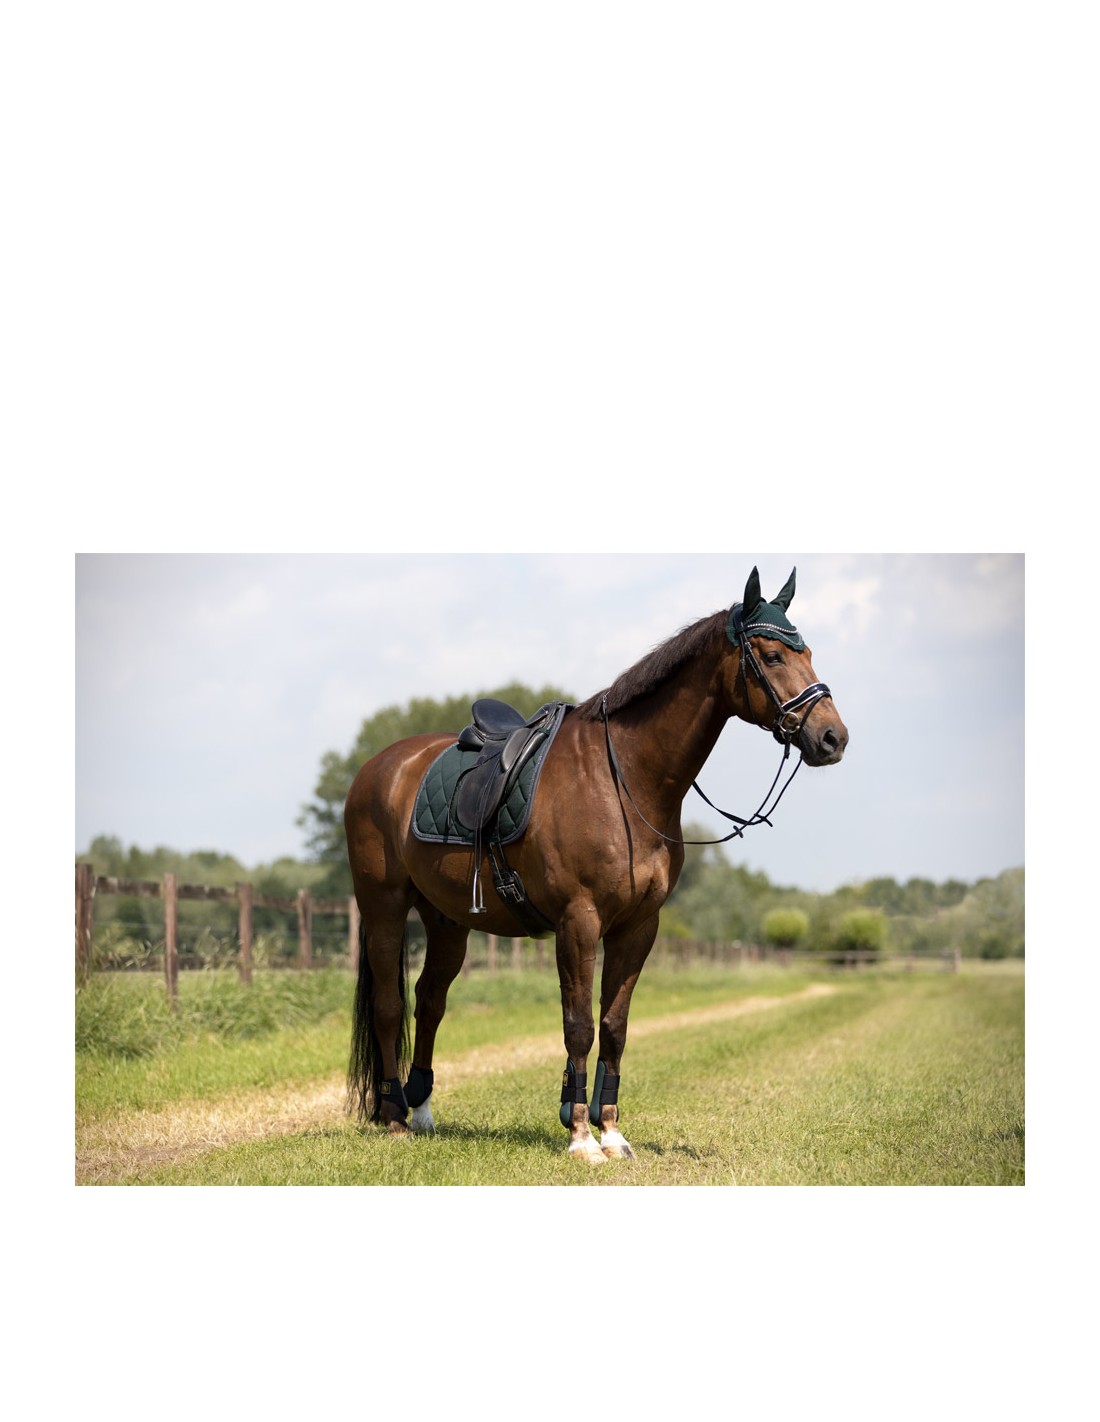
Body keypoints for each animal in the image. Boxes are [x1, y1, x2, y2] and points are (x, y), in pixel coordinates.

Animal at [344, 565, 848, 1161]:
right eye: (771, 656)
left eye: (807, 651)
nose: (832, 737)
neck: (624, 780)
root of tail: (380, 767)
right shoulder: (578, 922)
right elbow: (579, 1025)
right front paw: (581, 1135)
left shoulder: (637, 927)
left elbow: (614, 1026)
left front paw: (612, 1133)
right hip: (384, 907)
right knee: (388, 1005)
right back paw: (394, 1115)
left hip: (447, 921)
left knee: (429, 1001)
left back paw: (422, 1110)